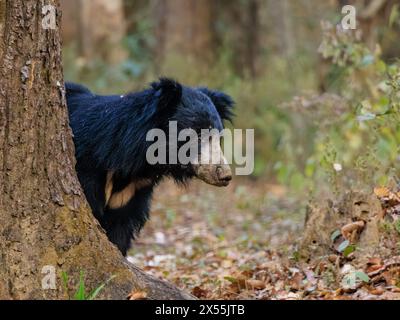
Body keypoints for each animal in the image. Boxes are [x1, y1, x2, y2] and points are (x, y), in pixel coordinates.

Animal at [65, 79, 234, 256]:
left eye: (219, 137)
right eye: (198, 135)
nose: (225, 175)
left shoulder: (132, 193)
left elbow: (120, 229)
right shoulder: (88, 167)